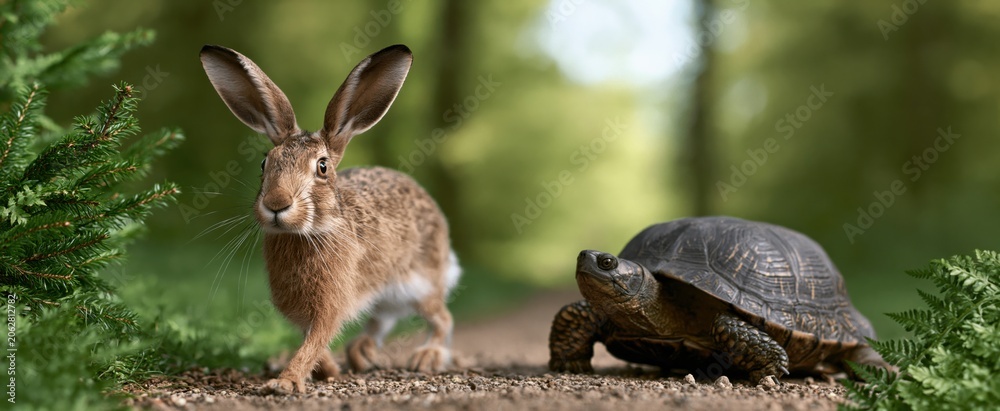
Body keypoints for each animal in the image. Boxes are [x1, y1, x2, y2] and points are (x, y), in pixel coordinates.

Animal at [199, 44, 461, 394]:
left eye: (322, 167)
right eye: (264, 164)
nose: (276, 203)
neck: (308, 233)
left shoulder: (330, 305)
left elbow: (314, 340)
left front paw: (285, 381)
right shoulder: (300, 312)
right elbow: (310, 341)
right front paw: (328, 370)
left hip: (422, 284)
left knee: (442, 319)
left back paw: (427, 356)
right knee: (381, 321)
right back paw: (361, 353)